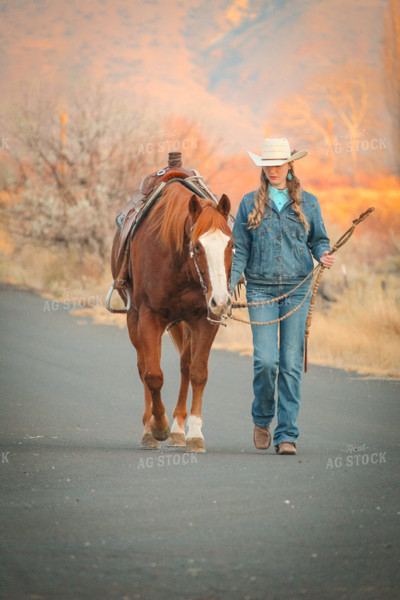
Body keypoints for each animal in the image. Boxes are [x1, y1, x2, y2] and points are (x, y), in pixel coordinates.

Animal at [111, 180, 233, 452]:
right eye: (197, 246)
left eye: (230, 244)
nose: (221, 300)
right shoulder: (149, 318)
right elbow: (153, 375)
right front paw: (158, 427)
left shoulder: (205, 320)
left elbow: (198, 373)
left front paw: (195, 434)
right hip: (135, 321)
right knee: (144, 366)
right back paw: (151, 429)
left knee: (185, 366)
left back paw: (178, 430)